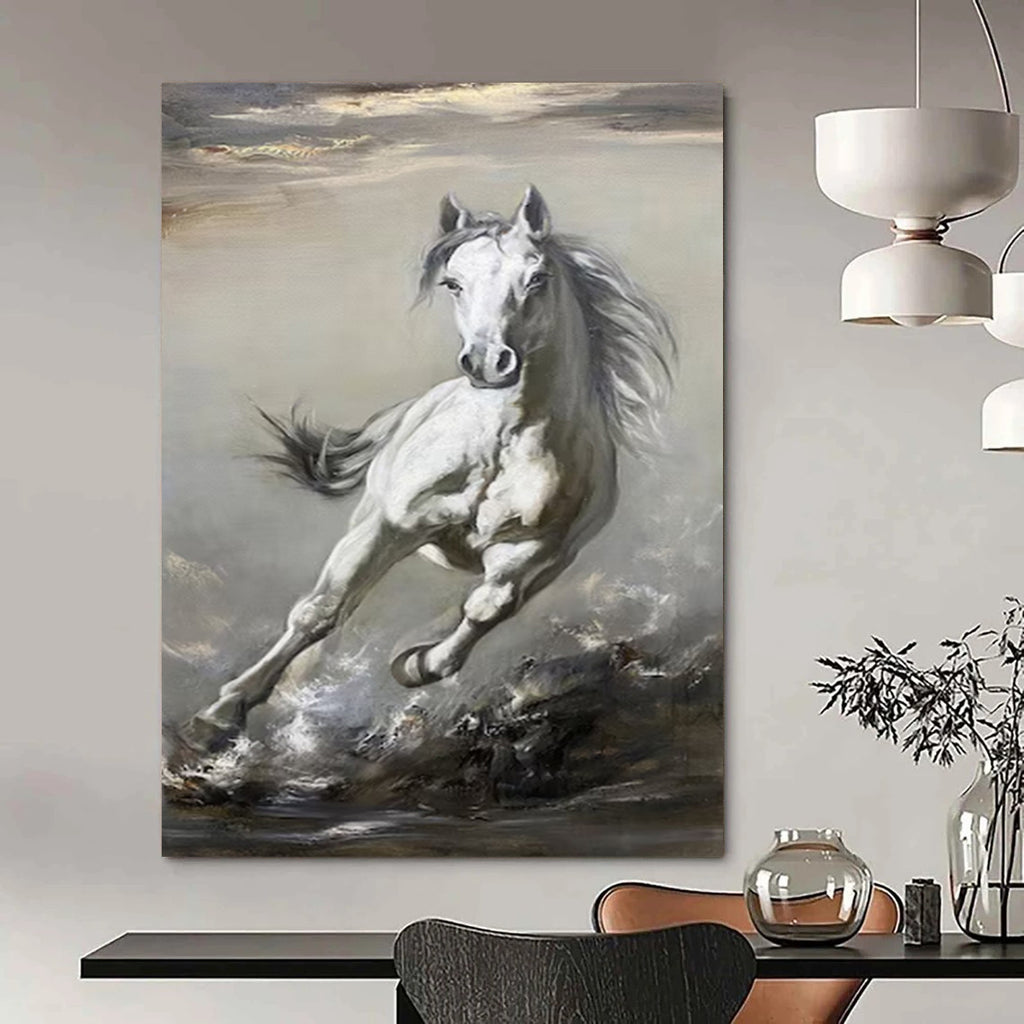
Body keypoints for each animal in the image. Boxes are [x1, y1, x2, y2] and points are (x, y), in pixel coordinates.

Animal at [182, 186, 676, 753]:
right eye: (453, 283)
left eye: (536, 278)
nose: (487, 362)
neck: (500, 445)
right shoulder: (387, 526)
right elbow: (320, 611)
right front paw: (218, 718)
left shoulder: (534, 551)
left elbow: (485, 609)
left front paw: (416, 664)